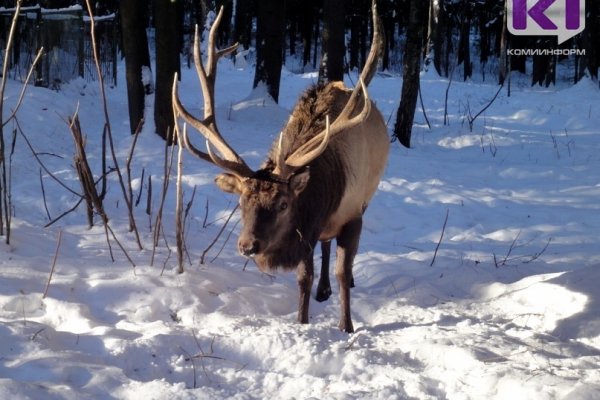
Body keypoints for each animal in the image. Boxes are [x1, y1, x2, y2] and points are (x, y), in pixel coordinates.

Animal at [173, 3, 390, 334]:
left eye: (283, 204)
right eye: (241, 202)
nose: (247, 245)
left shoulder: (352, 213)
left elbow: (341, 271)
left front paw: (347, 325)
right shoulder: (307, 229)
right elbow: (304, 278)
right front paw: (303, 320)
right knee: (325, 247)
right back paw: (323, 290)